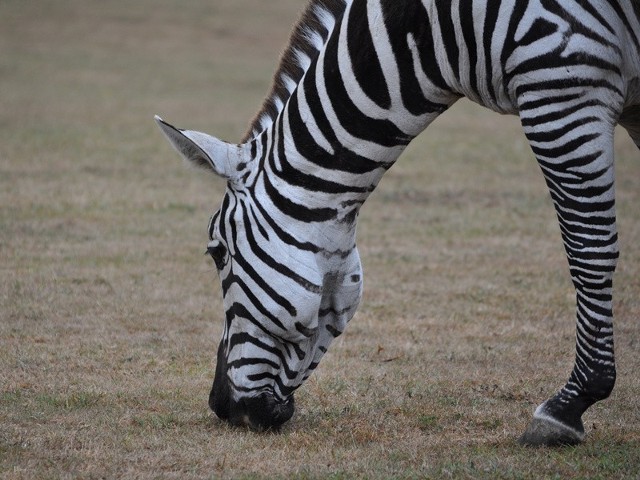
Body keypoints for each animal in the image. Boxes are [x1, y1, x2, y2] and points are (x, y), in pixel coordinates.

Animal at [155, 0, 640, 446]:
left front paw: (568, 406)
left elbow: (588, 249)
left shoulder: (562, 81)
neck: (439, 29)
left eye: (216, 252)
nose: (220, 406)